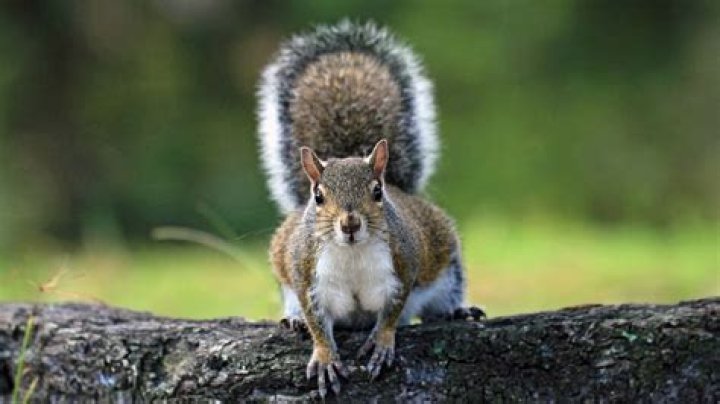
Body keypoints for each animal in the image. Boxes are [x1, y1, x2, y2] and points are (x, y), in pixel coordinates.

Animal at [257, 21, 483, 397]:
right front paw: (324, 355)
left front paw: (381, 341)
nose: (350, 224)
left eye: (377, 192)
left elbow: (392, 312)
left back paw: (455, 312)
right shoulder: (307, 277)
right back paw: (293, 320)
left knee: (439, 301)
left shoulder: (403, 266)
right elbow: (317, 322)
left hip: (446, 272)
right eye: (318, 196)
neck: (351, 254)